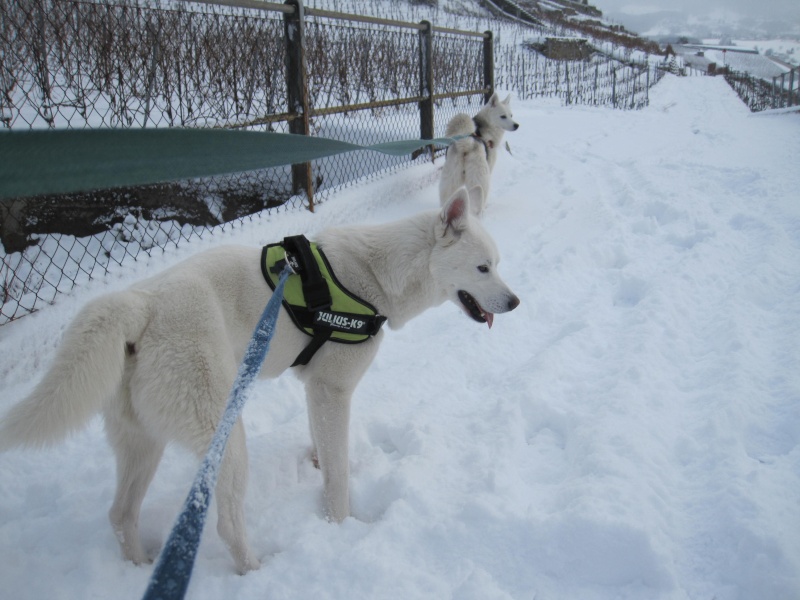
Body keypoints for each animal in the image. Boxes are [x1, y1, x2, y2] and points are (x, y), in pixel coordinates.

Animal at [0, 185, 520, 576]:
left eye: (498, 263)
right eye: (483, 267)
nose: (515, 302)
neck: (376, 277)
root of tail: (138, 303)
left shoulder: (315, 390)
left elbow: (322, 447)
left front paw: (315, 463)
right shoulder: (333, 391)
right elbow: (338, 476)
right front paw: (341, 524)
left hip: (143, 443)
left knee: (120, 514)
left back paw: (142, 567)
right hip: (226, 438)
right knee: (226, 525)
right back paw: (254, 570)